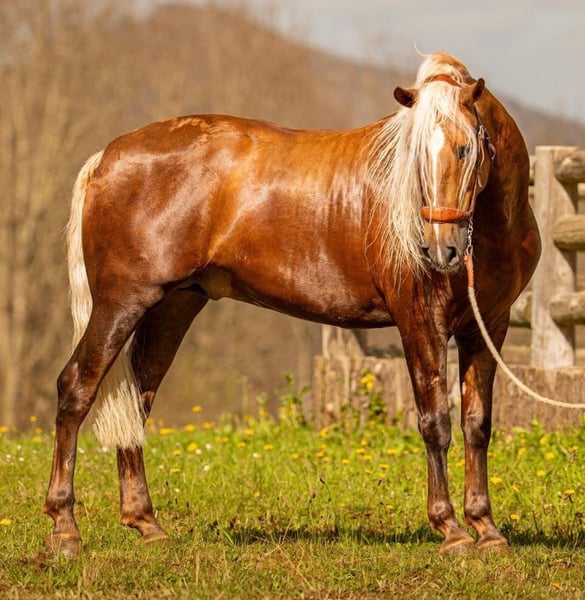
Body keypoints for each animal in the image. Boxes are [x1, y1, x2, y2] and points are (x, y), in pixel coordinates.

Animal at [44, 51, 540, 557]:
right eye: (415, 160)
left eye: (464, 150)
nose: (440, 250)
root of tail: (107, 157)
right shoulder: (420, 321)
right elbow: (435, 421)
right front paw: (451, 529)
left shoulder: (487, 328)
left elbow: (477, 424)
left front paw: (486, 528)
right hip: (120, 303)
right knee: (76, 388)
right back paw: (65, 527)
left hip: (172, 308)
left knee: (136, 402)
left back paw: (144, 521)